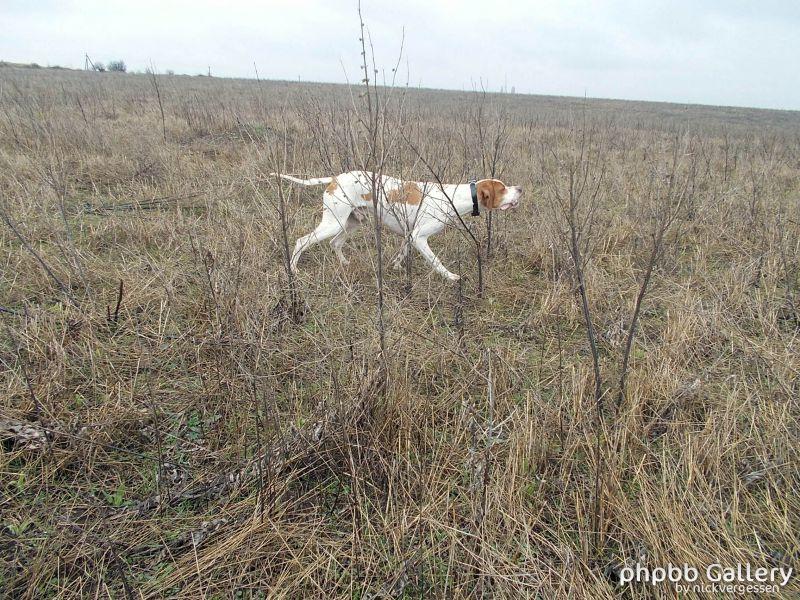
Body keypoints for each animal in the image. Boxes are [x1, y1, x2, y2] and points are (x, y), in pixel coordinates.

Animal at [274, 170, 524, 280]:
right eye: (502, 188)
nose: (520, 189)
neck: (454, 197)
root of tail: (335, 178)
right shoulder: (419, 237)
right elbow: (436, 261)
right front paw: (451, 277)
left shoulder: (410, 235)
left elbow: (402, 252)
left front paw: (395, 266)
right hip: (333, 223)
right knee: (301, 241)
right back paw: (294, 269)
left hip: (351, 222)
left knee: (335, 243)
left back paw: (344, 263)